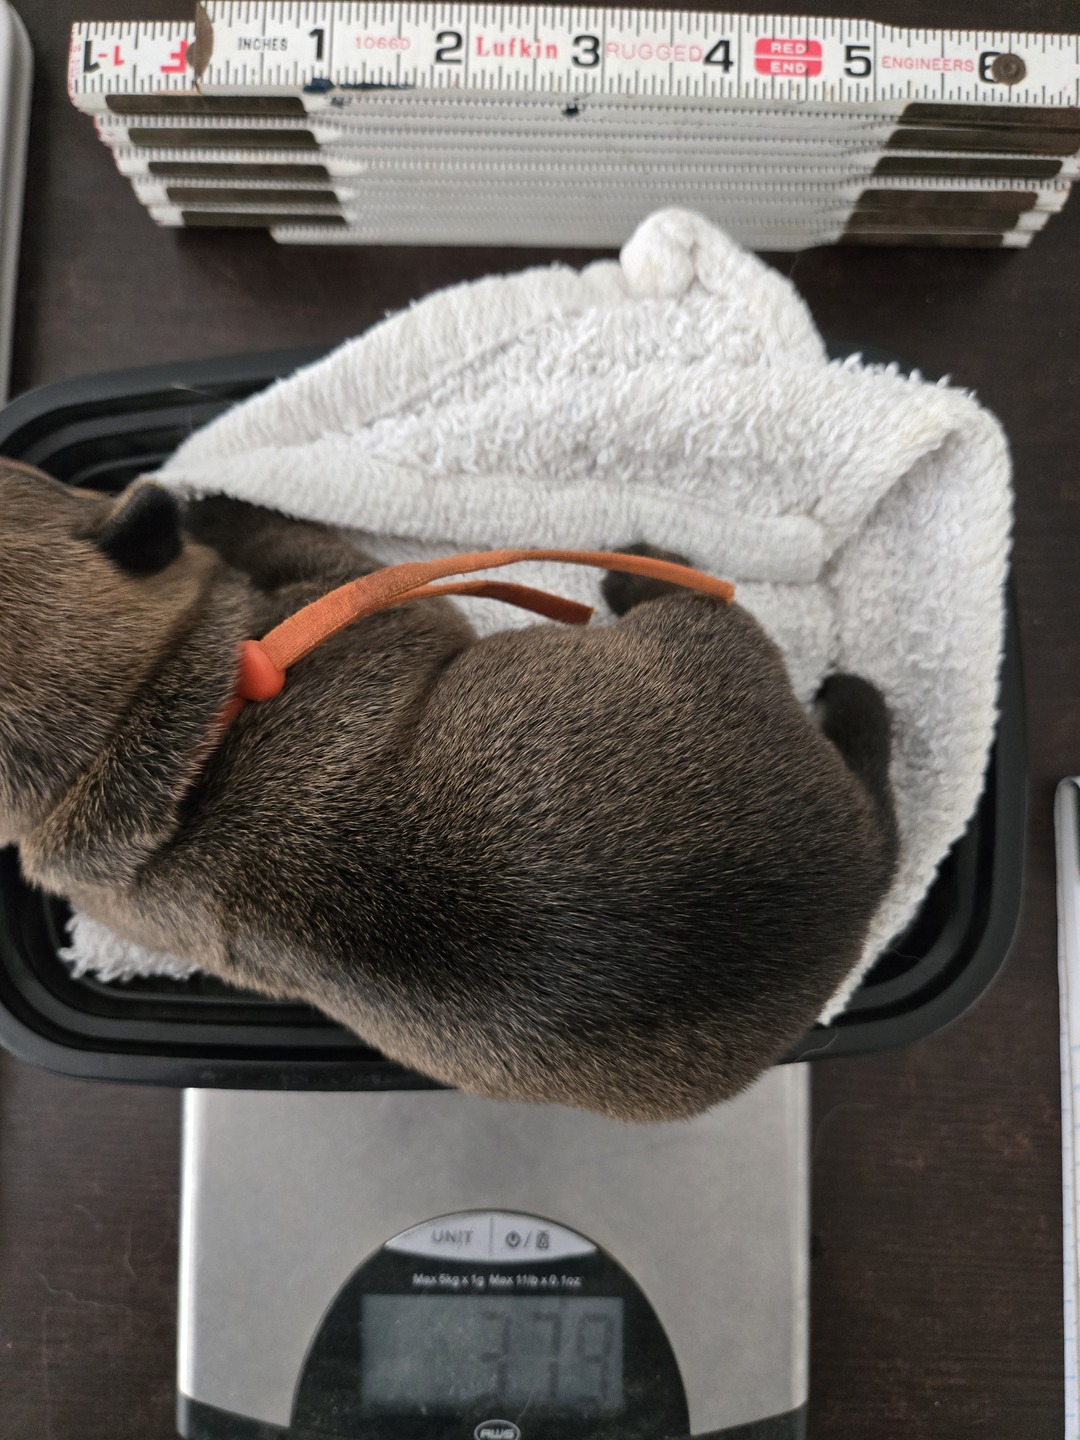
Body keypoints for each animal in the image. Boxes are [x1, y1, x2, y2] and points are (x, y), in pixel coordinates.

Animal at [0, 462, 898, 1121]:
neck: (125, 731)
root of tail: (850, 887)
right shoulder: (349, 583)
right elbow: (286, 535)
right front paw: (221, 506)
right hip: (707, 640)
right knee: (693, 608)